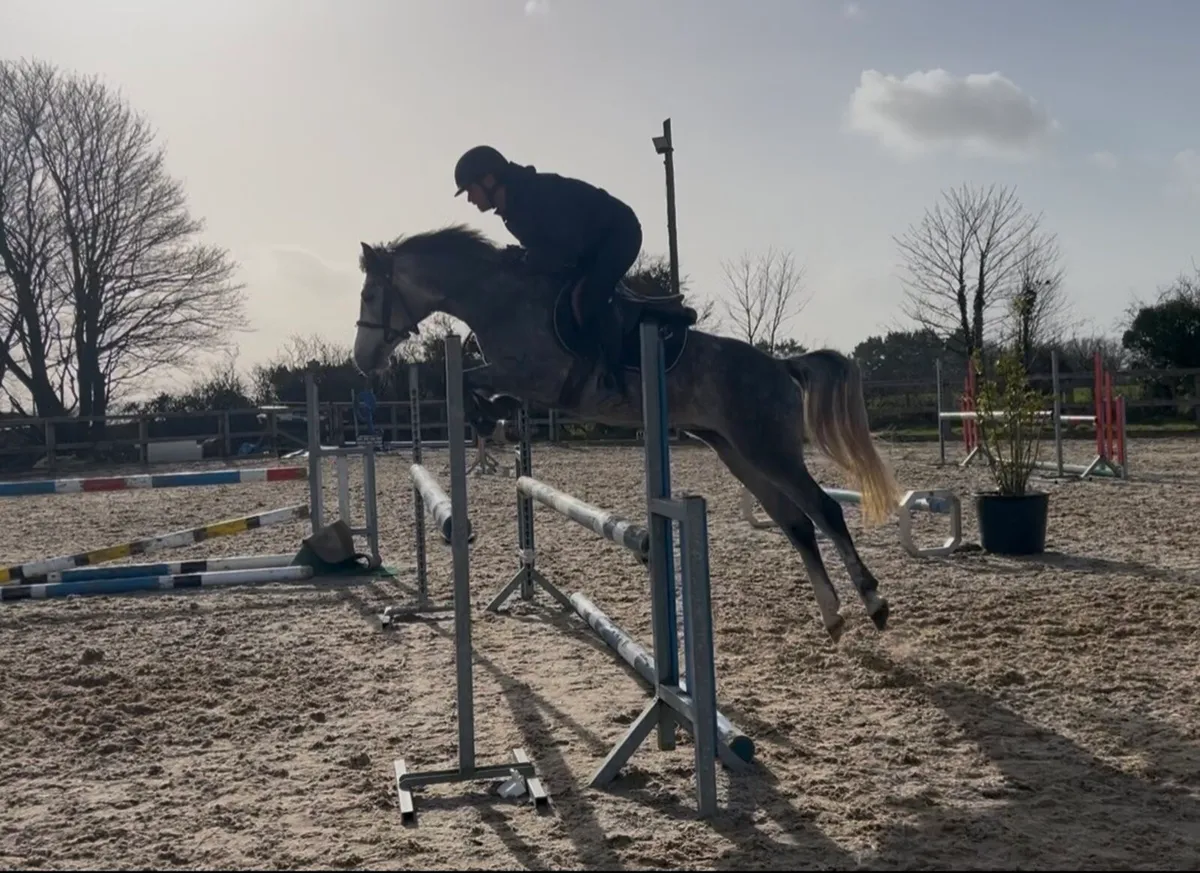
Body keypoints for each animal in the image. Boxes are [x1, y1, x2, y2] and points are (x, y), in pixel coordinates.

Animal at [351, 225, 901, 642]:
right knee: (796, 523)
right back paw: (832, 616)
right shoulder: (525, 384)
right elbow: (480, 390)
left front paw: (488, 420)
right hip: (736, 451)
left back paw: (874, 602)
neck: (499, 297)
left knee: (824, 510)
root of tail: (780, 366)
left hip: (768, 448)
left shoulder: (534, 376)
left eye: (371, 294)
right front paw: (494, 421)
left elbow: (469, 381)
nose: (362, 362)